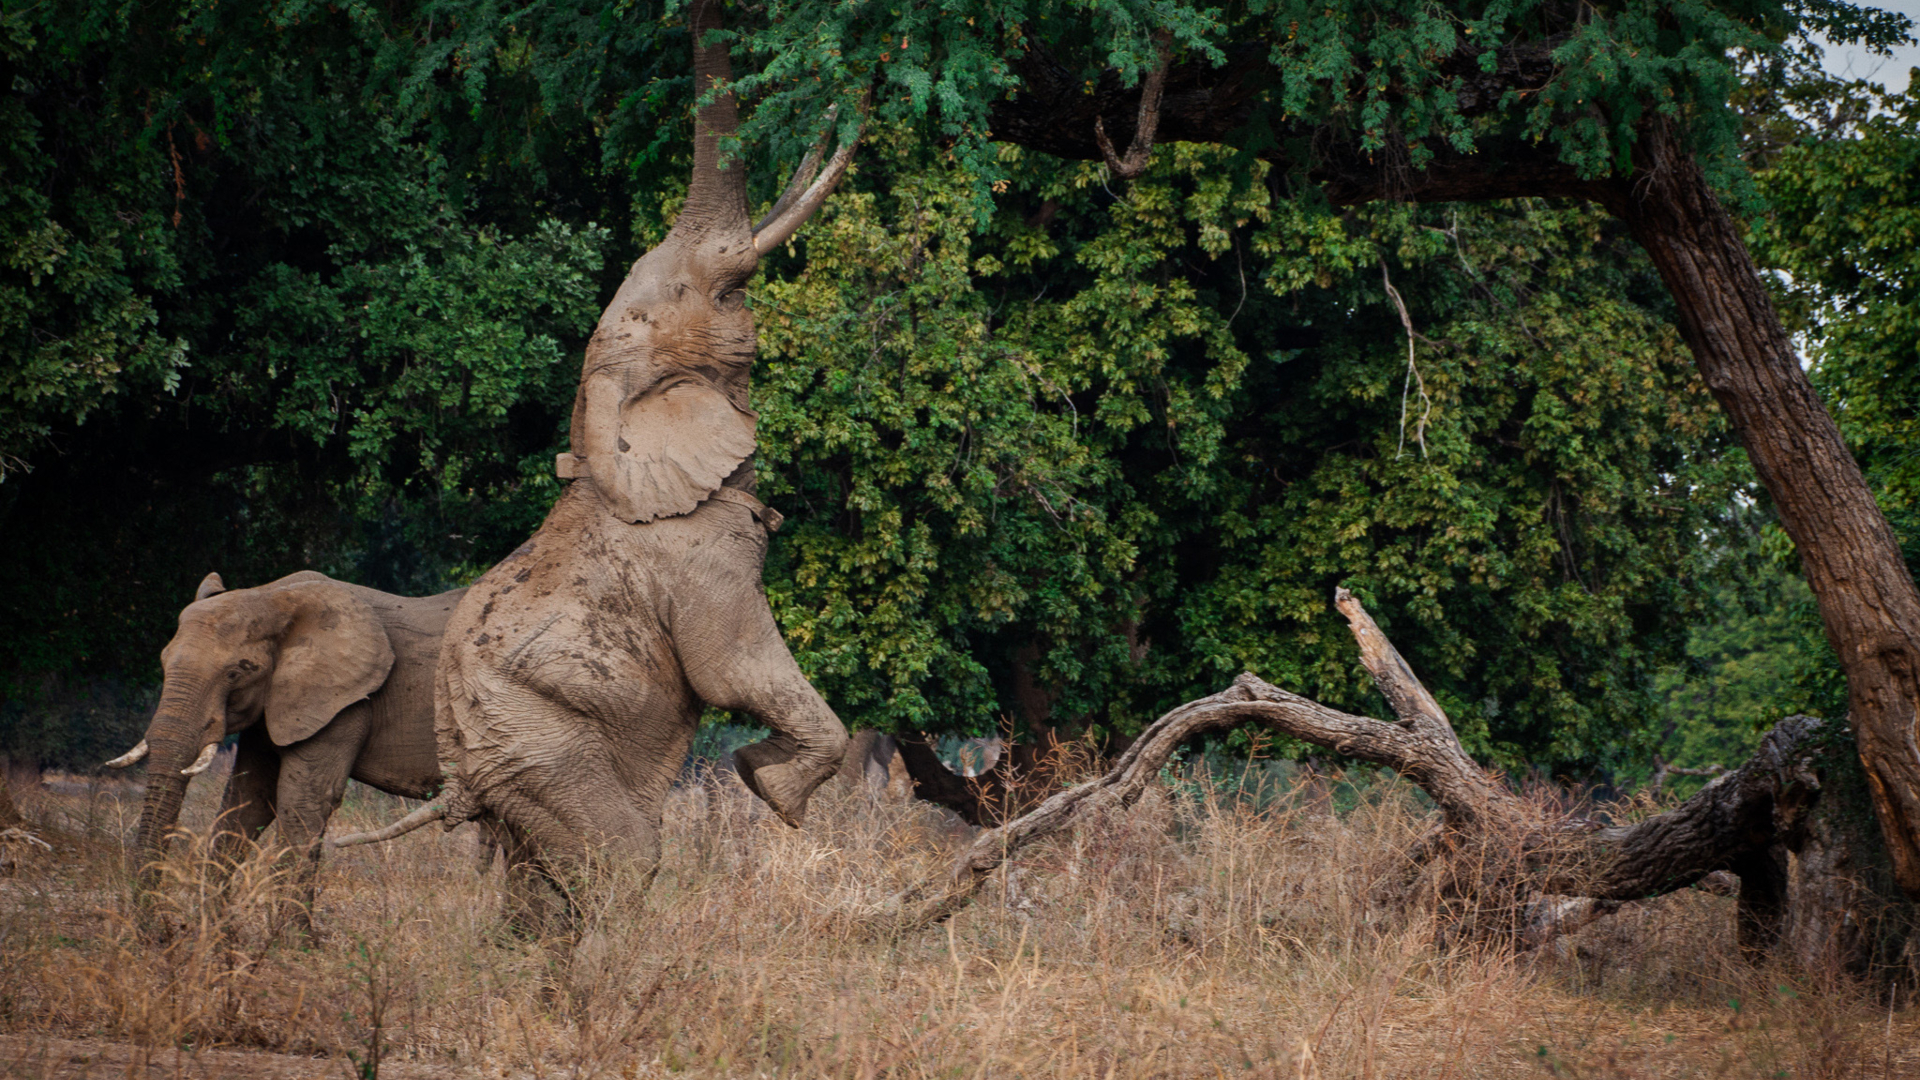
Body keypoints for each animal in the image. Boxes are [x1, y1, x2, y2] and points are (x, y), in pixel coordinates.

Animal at [106, 570, 464, 932]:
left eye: (235, 673)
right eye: (164, 664)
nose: (158, 930)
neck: (272, 597)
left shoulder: (341, 701)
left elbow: (303, 802)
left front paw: (289, 940)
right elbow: (248, 800)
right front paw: (215, 933)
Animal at [350, 0, 858, 923]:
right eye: (720, 293)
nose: (851, 102)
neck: (602, 416)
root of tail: (460, 777)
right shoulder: (698, 559)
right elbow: (732, 666)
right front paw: (772, 789)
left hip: (521, 767)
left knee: (534, 891)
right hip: (540, 741)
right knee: (621, 859)